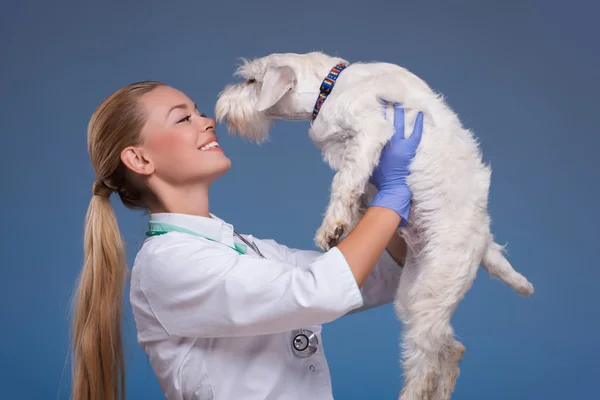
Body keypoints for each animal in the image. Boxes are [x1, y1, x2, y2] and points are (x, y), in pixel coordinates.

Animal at [216, 52, 536, 400]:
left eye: (252, 81)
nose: (220, 105)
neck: (330, 86)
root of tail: (484, 240)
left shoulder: (369, 134)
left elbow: (344, 182)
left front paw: (332, 226)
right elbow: (355, 186)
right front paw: (354, 216)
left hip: (433, 290)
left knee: (426, 361)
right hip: (411, 295)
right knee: (450, 348)